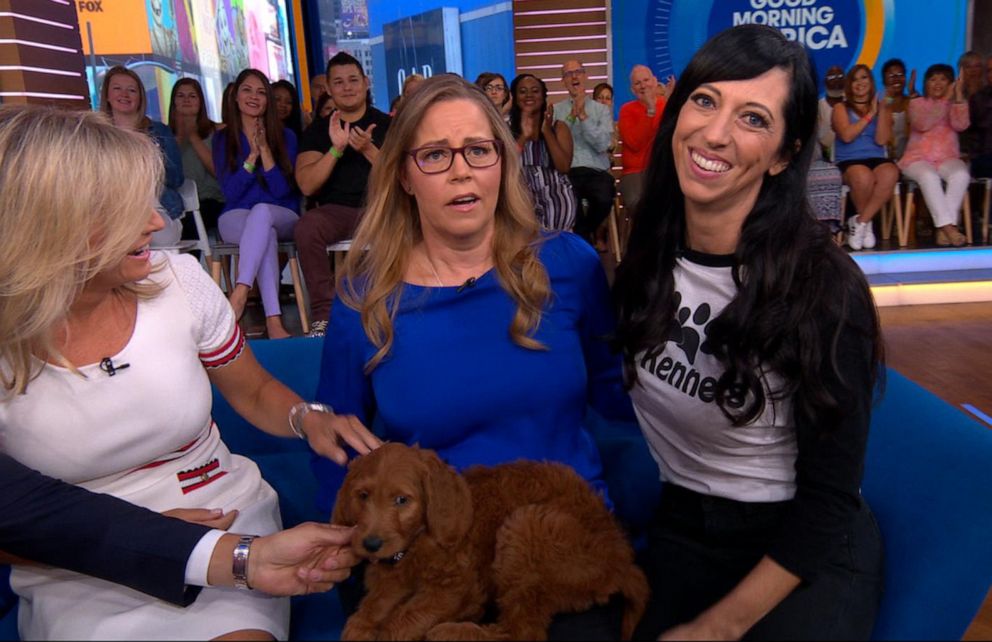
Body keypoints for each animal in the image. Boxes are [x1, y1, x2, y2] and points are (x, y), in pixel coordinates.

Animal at [330, 442, 648, 636]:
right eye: (363, 496)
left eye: (401, 500)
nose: (370, 544)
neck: (414, 546)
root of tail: (622, 560)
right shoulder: (388, 582)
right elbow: (367, 612)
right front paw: (360, 628)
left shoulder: (456, 587)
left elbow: (403, 620)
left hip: (526, 526)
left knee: (522, 632)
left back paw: (453, 633)